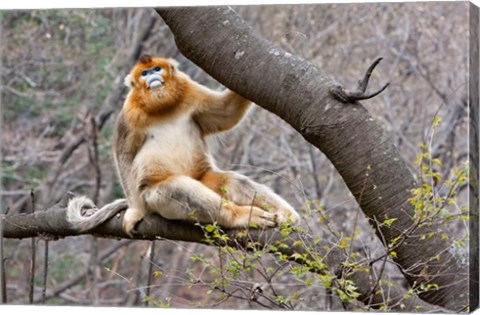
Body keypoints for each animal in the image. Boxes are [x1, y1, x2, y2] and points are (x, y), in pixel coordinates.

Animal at [67, 55, 300, 237]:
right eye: (144, 73)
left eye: (157, 69)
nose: (152, 77)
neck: (162, 105)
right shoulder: (128, 113)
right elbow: (124, 155)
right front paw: (135, 212)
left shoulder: (190, 89)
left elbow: (227, 112)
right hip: (152, 199)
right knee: (177, 188)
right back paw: (241, 216)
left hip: (203, 177)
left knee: (232, 181)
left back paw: (285, 213)